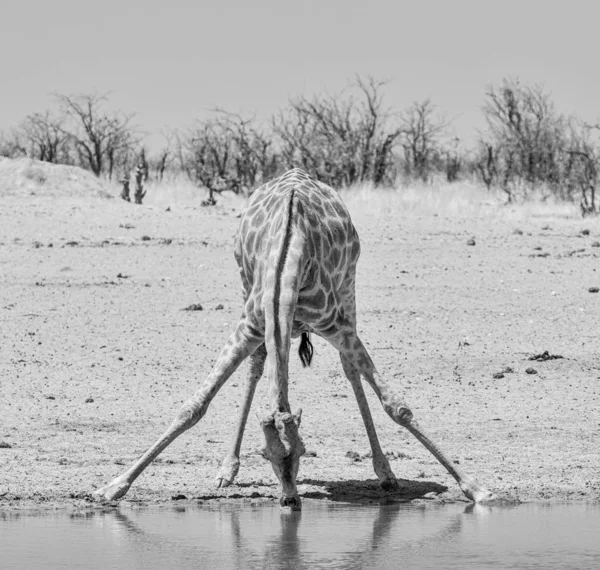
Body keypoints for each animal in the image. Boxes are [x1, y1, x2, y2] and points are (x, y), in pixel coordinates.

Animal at [95, 168, 496, 506]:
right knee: (258, 366)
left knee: (350, 371)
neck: (287, 264)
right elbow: (193, 407)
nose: (290, 500)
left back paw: (385, 472)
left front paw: (475, 488)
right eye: (266, 454)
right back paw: (227, 469)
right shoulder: (250, 325)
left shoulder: (337, 325)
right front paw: (113, 487)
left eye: (302, 451)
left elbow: (396, 405)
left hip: (348, 288)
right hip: (246, 289)